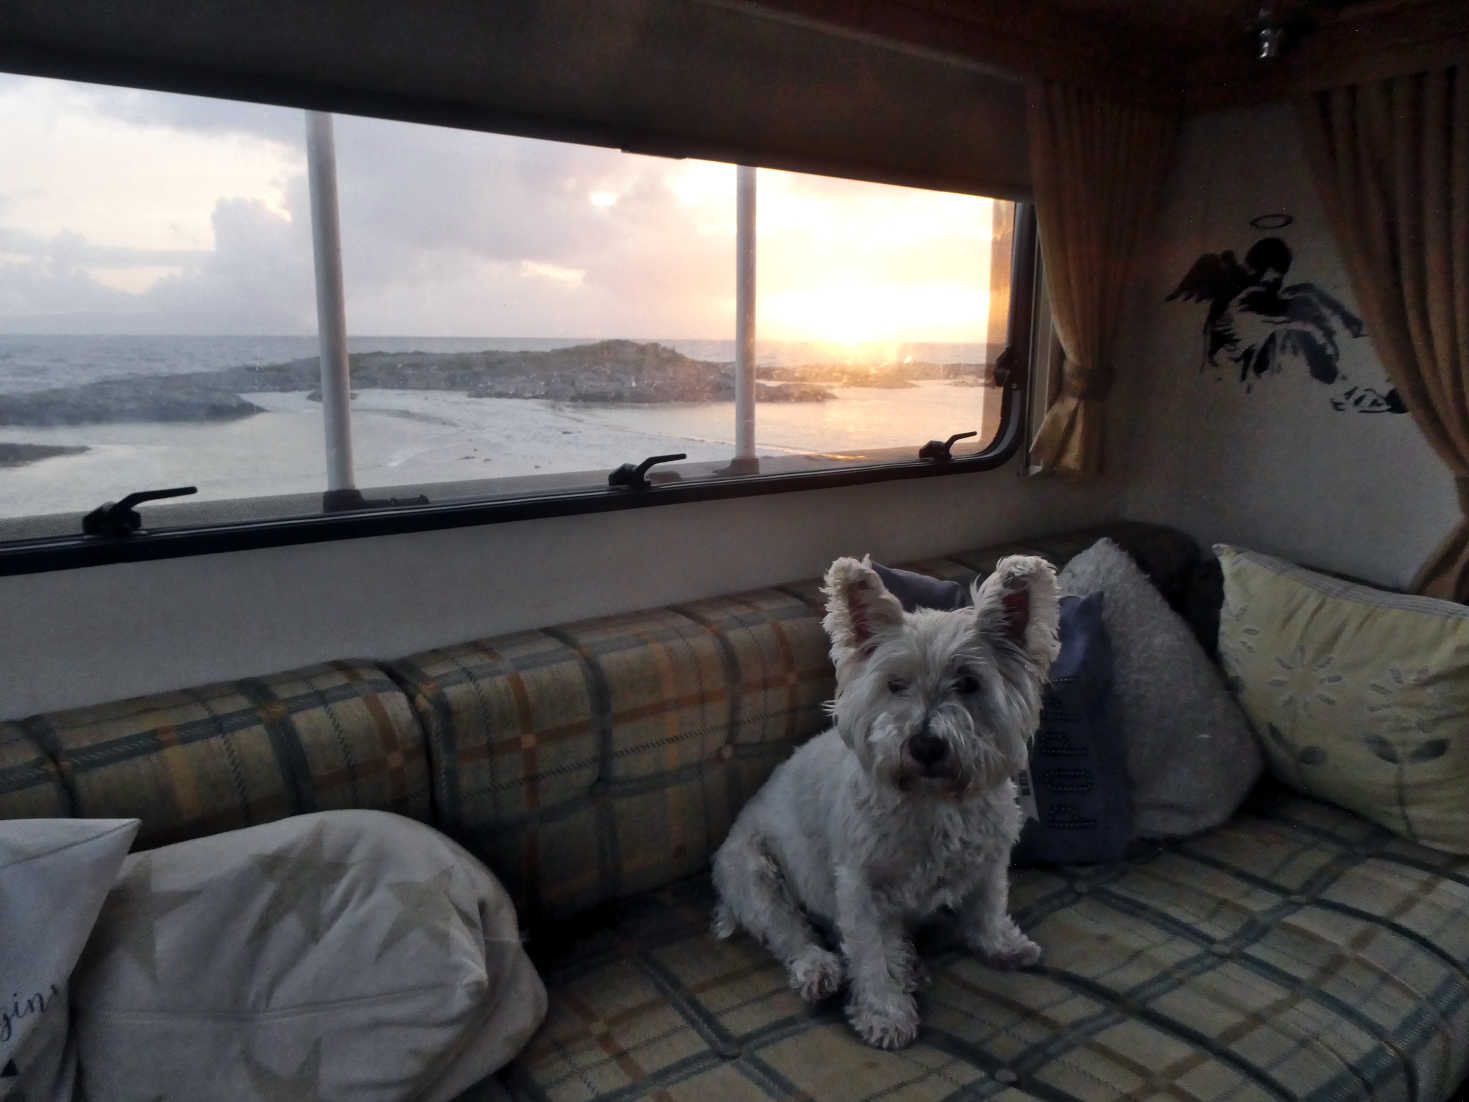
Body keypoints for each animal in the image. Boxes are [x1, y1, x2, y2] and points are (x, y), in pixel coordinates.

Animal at [710, 555, 1057, 1046]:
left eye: (968, 683)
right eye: (895, 685)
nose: (926, 745)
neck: (932, 801)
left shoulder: (991, 856)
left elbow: (989, 904)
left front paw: (1002, 945)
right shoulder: (859, 885)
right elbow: (868, 953)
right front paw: (885, 1014)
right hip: (753, 873)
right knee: (790, 932)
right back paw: (821, 971)